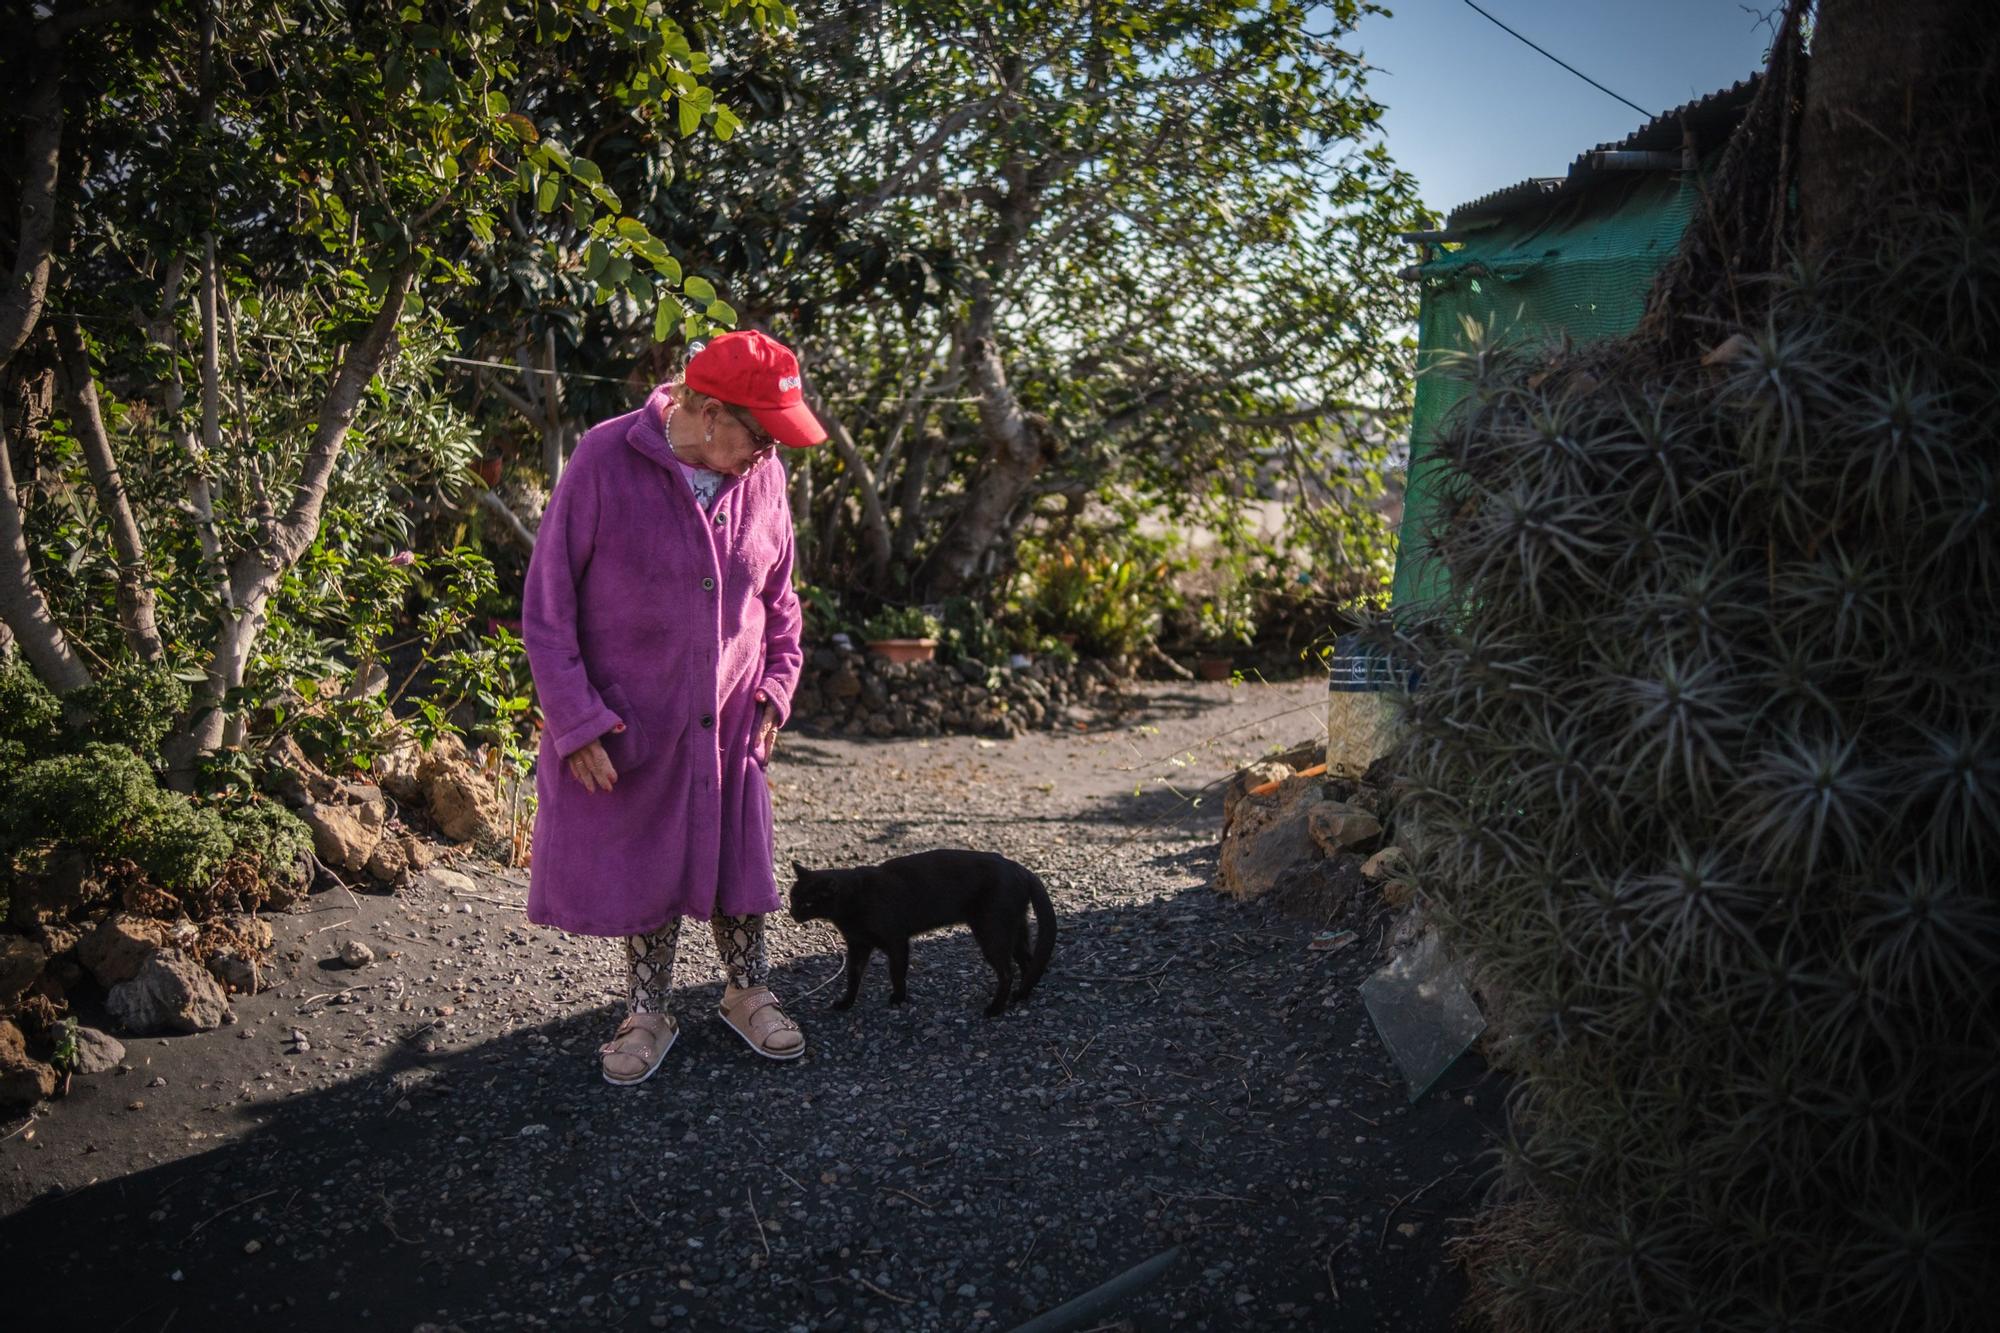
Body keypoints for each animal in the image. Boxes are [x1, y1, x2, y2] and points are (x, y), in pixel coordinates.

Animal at [784, 844, 1056, 1012]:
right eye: (792, 897)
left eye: (807, 902)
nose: (792, 913)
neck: (854, 901)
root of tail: (1021, 868)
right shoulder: (858, 945)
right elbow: (853, 975)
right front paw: (846, 1002)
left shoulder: (896, 940)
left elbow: (896, 972)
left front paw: (898, 998)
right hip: (1014, 929)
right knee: (1029, 961)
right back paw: (1022, 996)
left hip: (991, 931)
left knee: (1008, 971)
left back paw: (995, 1009)